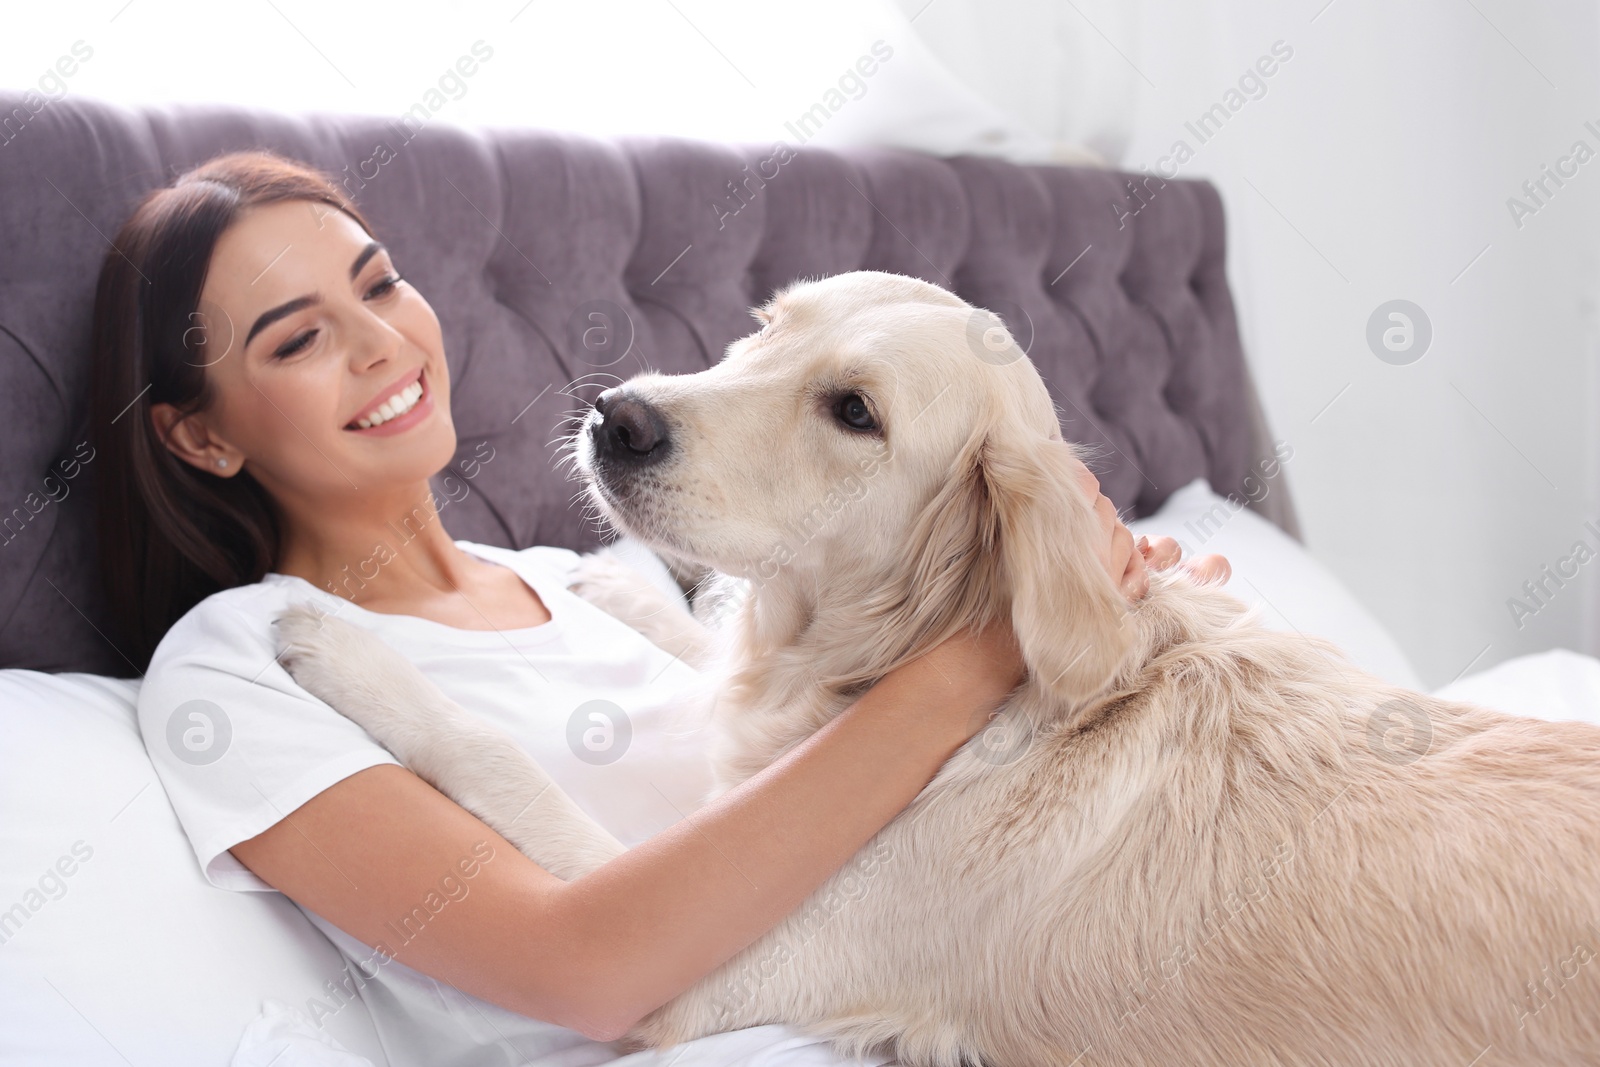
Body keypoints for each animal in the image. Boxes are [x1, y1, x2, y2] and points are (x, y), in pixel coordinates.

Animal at [275, 271, 1600, 1062]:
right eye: (766, 326)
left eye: (854, 411)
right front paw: (620, 590)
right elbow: (708, 658)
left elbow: (495, 757)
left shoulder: (681, 965)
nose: (617, 415)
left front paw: (339, 643)